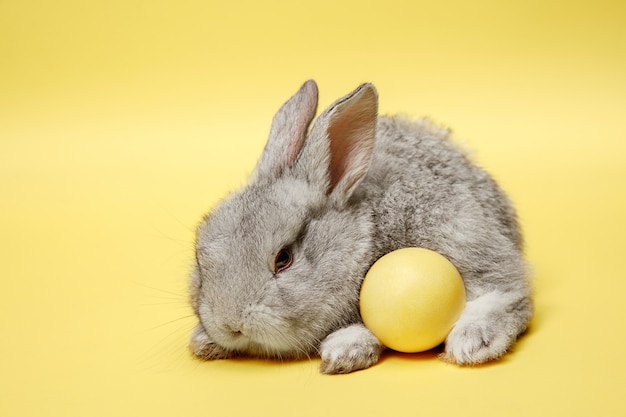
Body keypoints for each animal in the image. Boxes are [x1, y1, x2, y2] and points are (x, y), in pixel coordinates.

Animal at [186, 79, 532, 372]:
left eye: (283, 259)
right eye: (201, 260)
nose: (230, 323)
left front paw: (344, 351)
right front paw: (203, 341)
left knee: (513, 293)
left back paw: (472, 341)